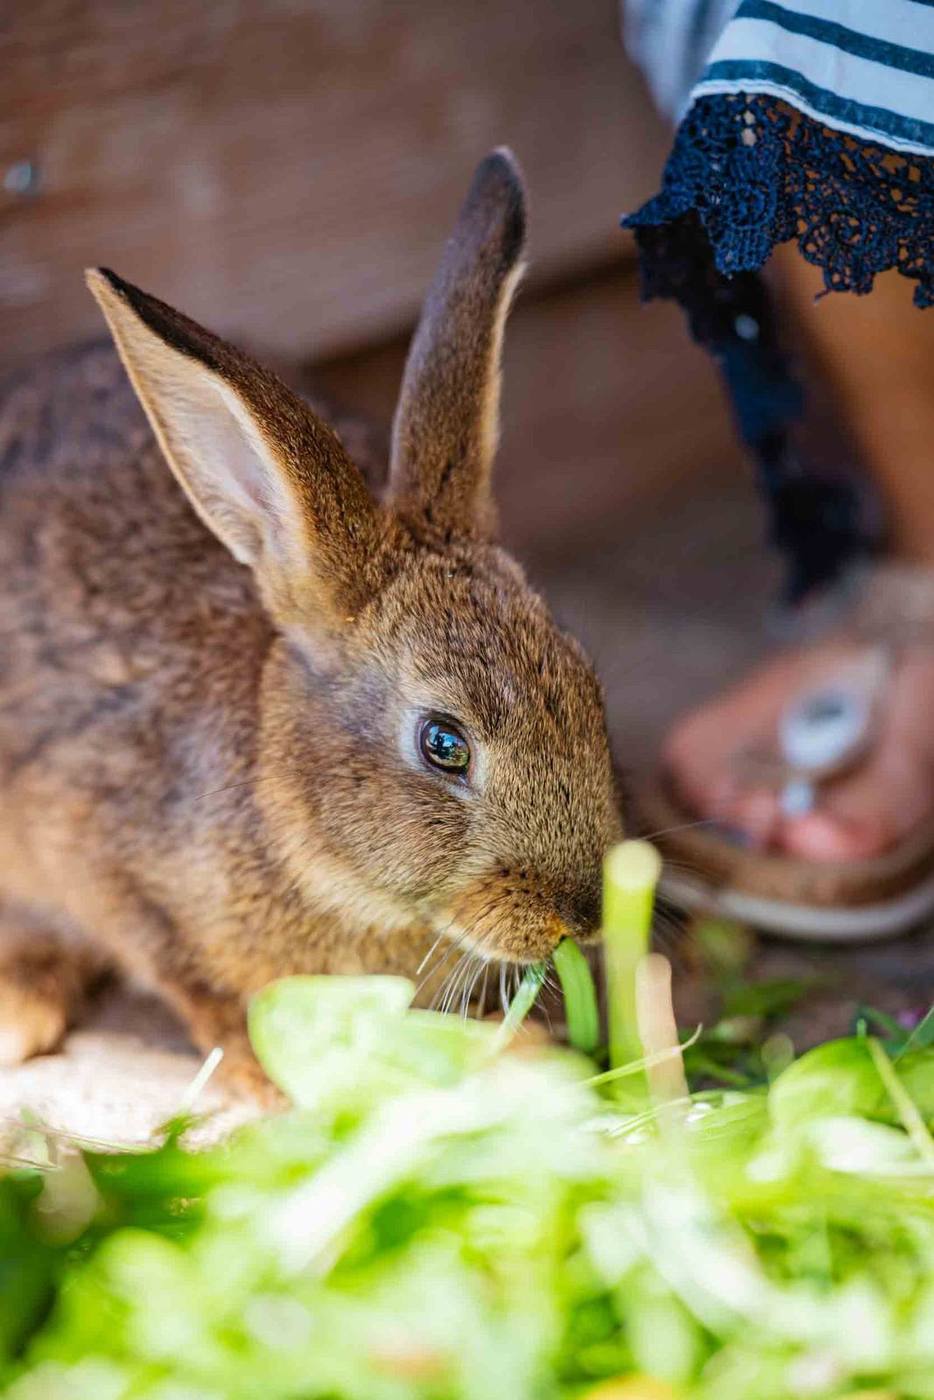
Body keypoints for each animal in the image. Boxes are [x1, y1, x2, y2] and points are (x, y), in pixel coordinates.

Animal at [0, 149, 623, 1092]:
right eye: (444, 744)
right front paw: (263, 1077)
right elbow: (194, 985)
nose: (581, 916)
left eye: (586, 682)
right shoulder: (113, 871)